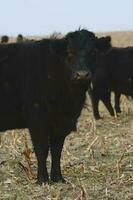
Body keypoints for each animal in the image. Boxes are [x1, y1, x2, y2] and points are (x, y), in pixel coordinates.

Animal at [0, 29, 98, 184]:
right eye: (69, 53)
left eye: (93, 52)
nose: (82, 74)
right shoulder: (37, 118)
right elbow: (42, 148)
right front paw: (42, 179)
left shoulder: (61, 122)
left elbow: (57, 150)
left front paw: (58, 178)